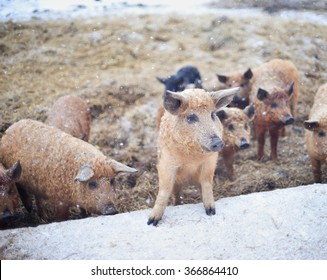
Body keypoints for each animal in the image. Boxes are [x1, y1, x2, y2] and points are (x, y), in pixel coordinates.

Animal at [0, 119, 138, 222]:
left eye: (112, 181)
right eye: (93, 184)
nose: (111, 211)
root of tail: (11, 127)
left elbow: (85, 212)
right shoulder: (59, 201)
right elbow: (62, 217)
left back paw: (44, 218)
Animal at [147, 87, 240, 225]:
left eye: (212, 114)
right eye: (191, 117)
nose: (218, 142)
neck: (191, 159)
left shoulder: (210, 161)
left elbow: (207, 182)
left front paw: (211, 212)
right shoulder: (166, 163)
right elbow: (165, 189)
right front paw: (152, 222)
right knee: (176, 192)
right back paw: (177, 204)